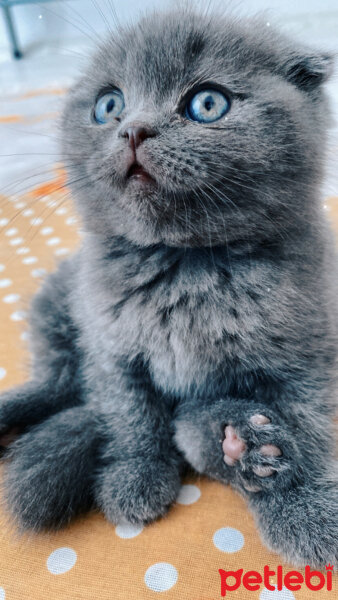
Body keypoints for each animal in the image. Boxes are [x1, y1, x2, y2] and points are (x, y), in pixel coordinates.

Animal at [0, 8, 338, 568]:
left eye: (207, 103)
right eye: (108, 105)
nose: (133, 129)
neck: (184, 264)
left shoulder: (309, 356)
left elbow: (312, 428)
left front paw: (308, 511)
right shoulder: (110, 346)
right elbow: (131, 414)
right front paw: (134, 478)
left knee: (188, 424)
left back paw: (241, 442)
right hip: (57, 300)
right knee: (61, 382)